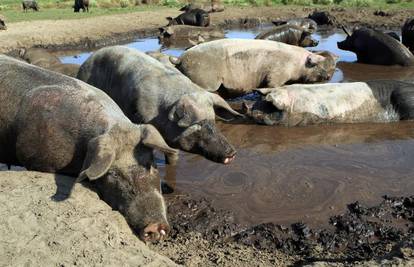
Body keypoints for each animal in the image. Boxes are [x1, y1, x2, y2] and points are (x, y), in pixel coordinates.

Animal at [173, 39, 338, 98]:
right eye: (322, 68)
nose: (329, 77)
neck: (298, 65)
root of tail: (180, 58)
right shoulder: (277, 72)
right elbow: (273, 84)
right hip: (204, 78)